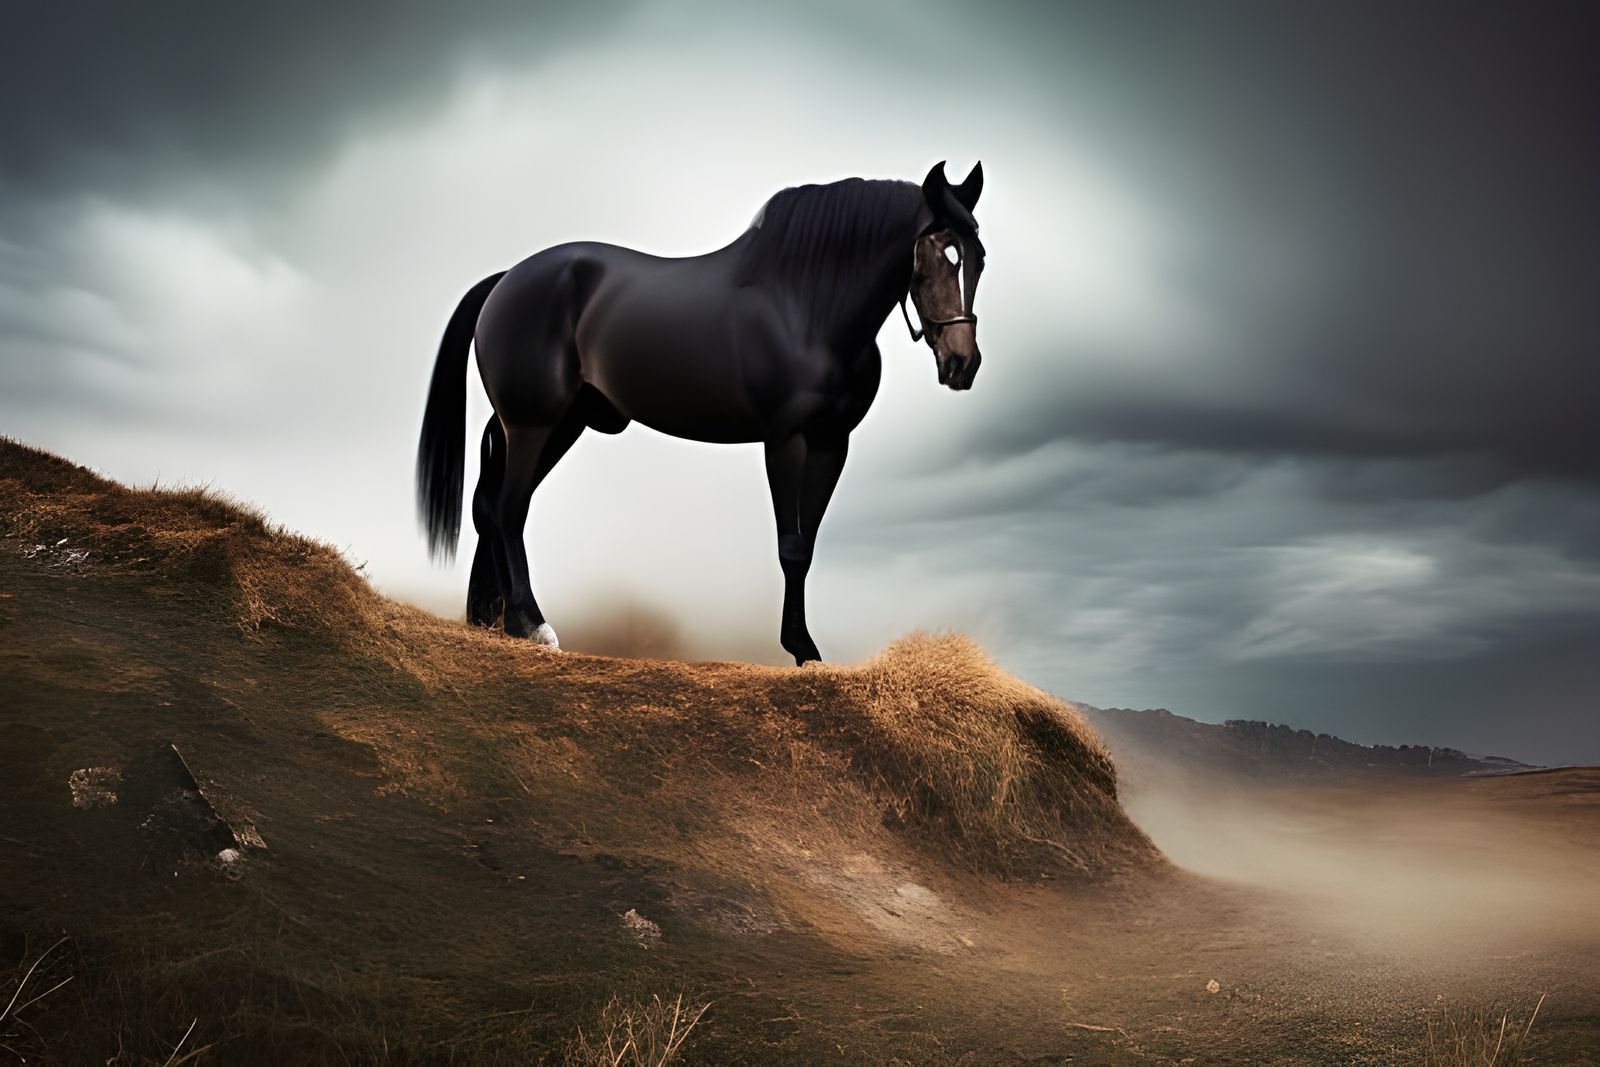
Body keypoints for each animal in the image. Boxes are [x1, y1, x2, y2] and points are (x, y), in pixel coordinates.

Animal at [416, 160, 986, 664]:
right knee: (509, 509)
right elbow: (792, 546)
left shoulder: (831, 441)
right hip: (532, 424)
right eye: (939, 254)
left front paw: (806, 649)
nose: (962, 363)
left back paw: (495, 621)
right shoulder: (785, 439)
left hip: (556, 425)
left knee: (491, 505)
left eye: (978, 257)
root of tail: (506, 279)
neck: (804, 309)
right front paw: (800, 648)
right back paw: (532, 625)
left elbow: (808, 543)